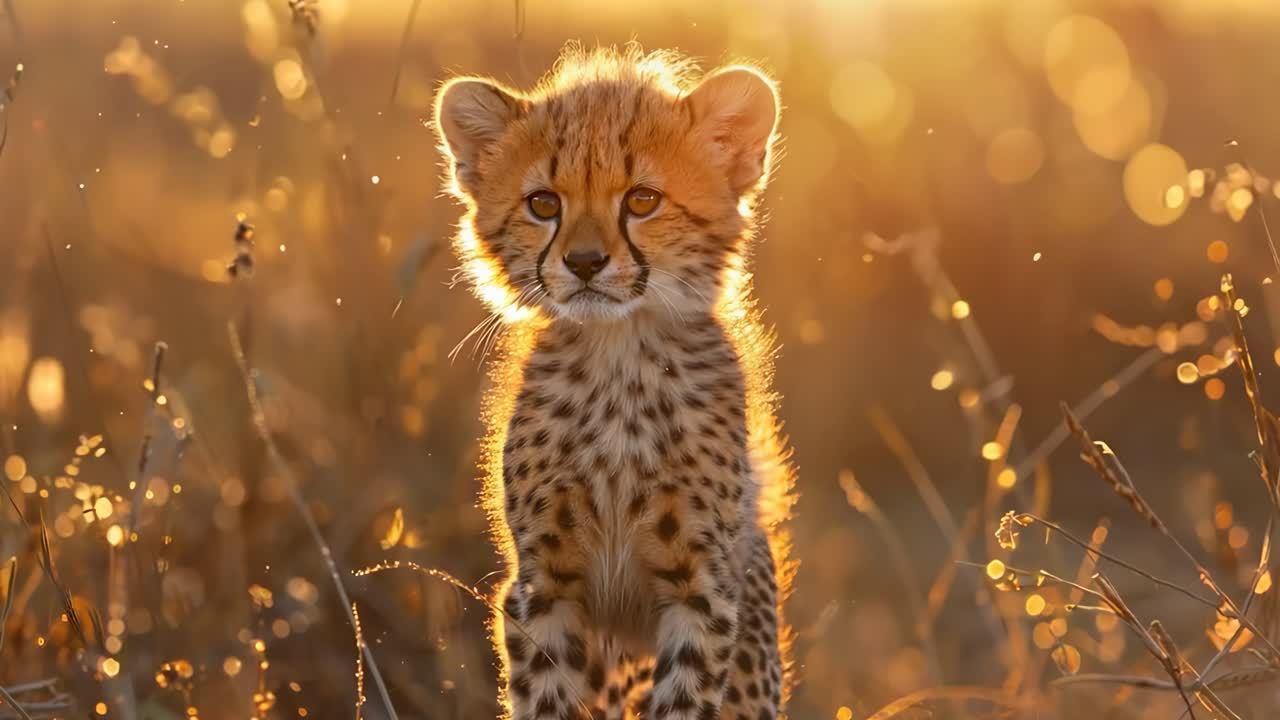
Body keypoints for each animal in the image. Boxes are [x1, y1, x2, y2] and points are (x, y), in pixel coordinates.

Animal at [432, 44, 797, 720]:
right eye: (544, 205)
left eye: (643, 200)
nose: (583, 263)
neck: (618, 359)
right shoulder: (541, 589)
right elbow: (547, 698)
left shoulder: (701, 592)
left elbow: (684, 701)